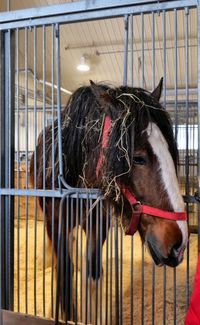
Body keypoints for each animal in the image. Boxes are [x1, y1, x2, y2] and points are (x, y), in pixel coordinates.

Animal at [29, 78, 188, 322]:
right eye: (138, 158)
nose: (179, 244)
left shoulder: (98, 225)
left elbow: (92, 275)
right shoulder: (55, 223)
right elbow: (64, 275)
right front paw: (67, 314)